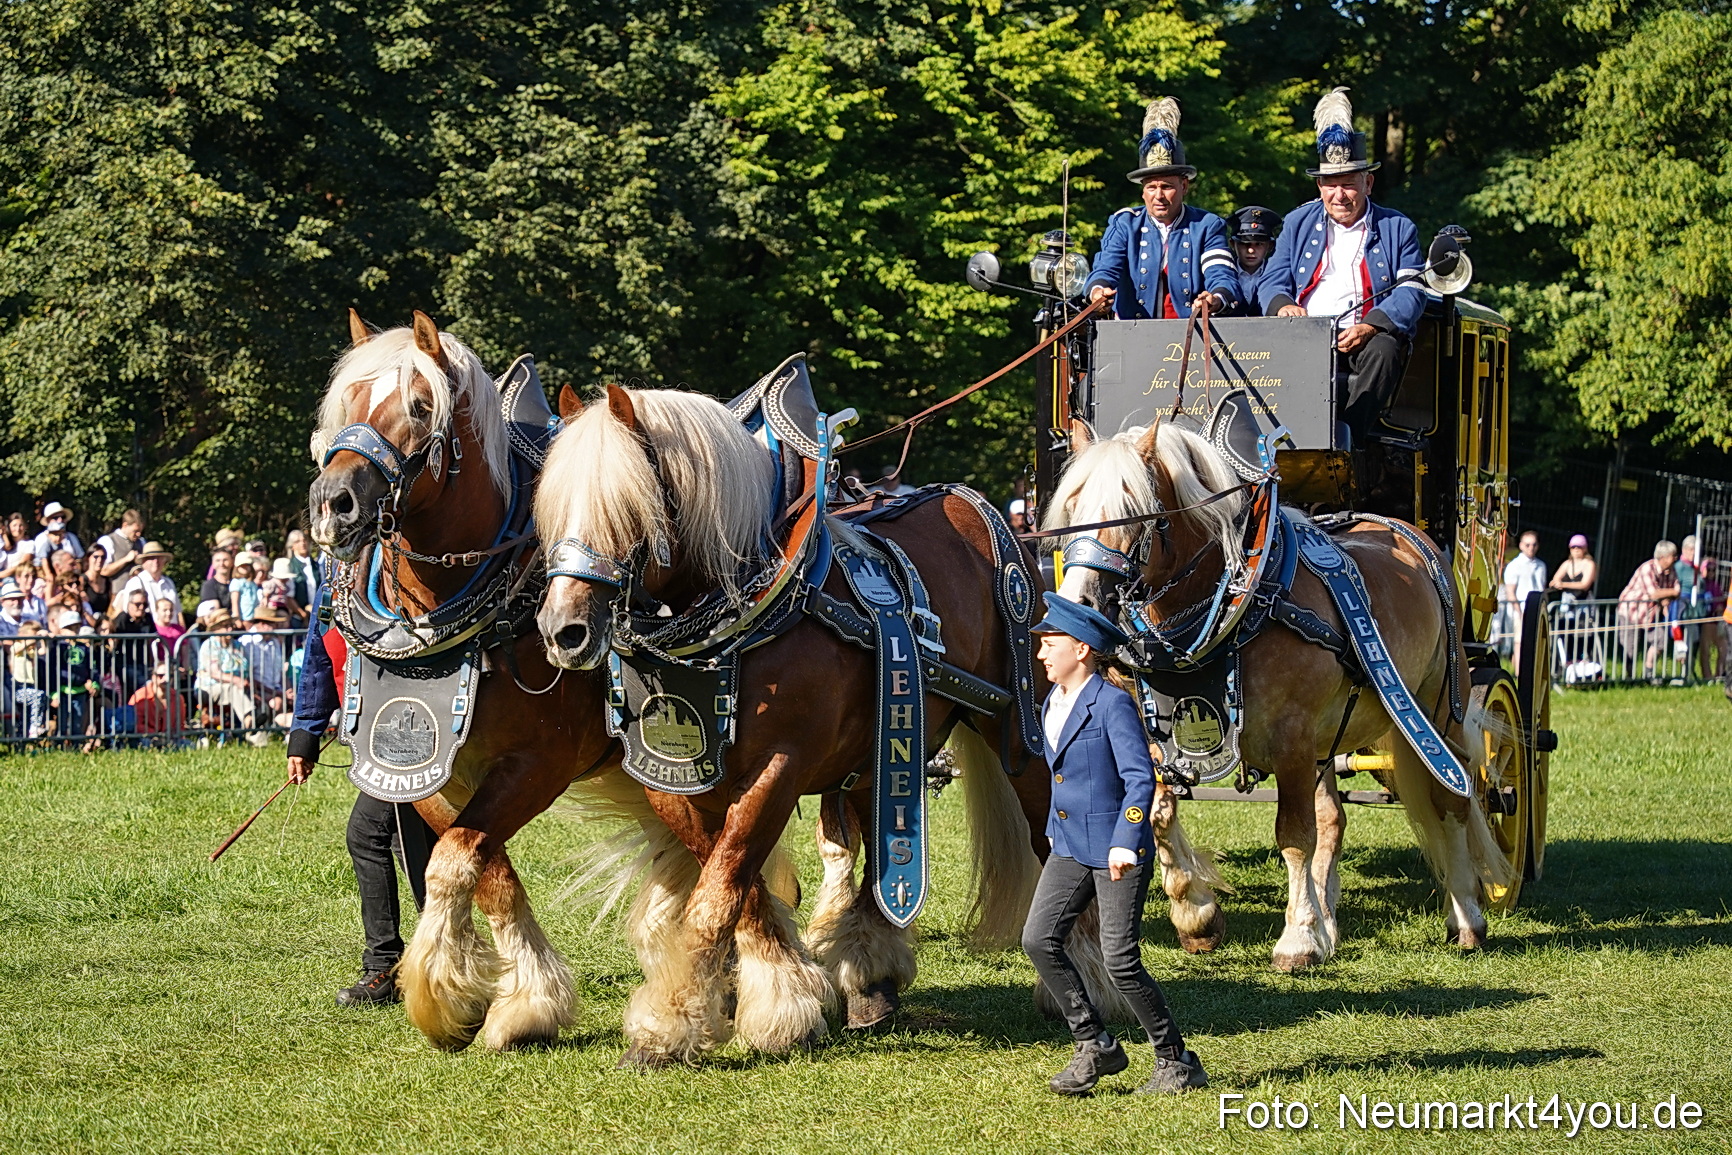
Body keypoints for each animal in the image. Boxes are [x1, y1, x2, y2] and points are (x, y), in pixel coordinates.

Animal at [1047, 420, 1516, 970]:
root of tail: (1409, 532)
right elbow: (1156, 814)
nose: (1075, 607)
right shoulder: (1151, 729)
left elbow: (1293, 835)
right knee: (1333, 819)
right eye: (1072, 507)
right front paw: (1197, 916)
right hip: (1329, 735)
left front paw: (1297, 938)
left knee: (1453, 797)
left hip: (1439, 706)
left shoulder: (1292, 733)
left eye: (1136, 512)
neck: (1238, 600)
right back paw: (1328, 919)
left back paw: (1465, 913)